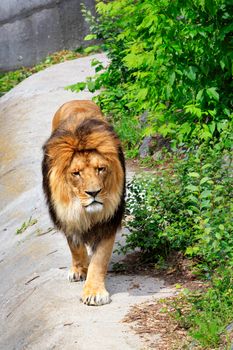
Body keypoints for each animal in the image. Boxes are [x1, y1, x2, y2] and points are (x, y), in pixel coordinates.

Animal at [41, 100, 125, 304]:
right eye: (76, 173)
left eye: (100, 169)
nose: (94, 192)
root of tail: (76, 101)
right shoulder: (66, 215)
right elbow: (75, 246)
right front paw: (80, 269)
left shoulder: (108, 221)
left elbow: (100, 259)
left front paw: (94, 292)